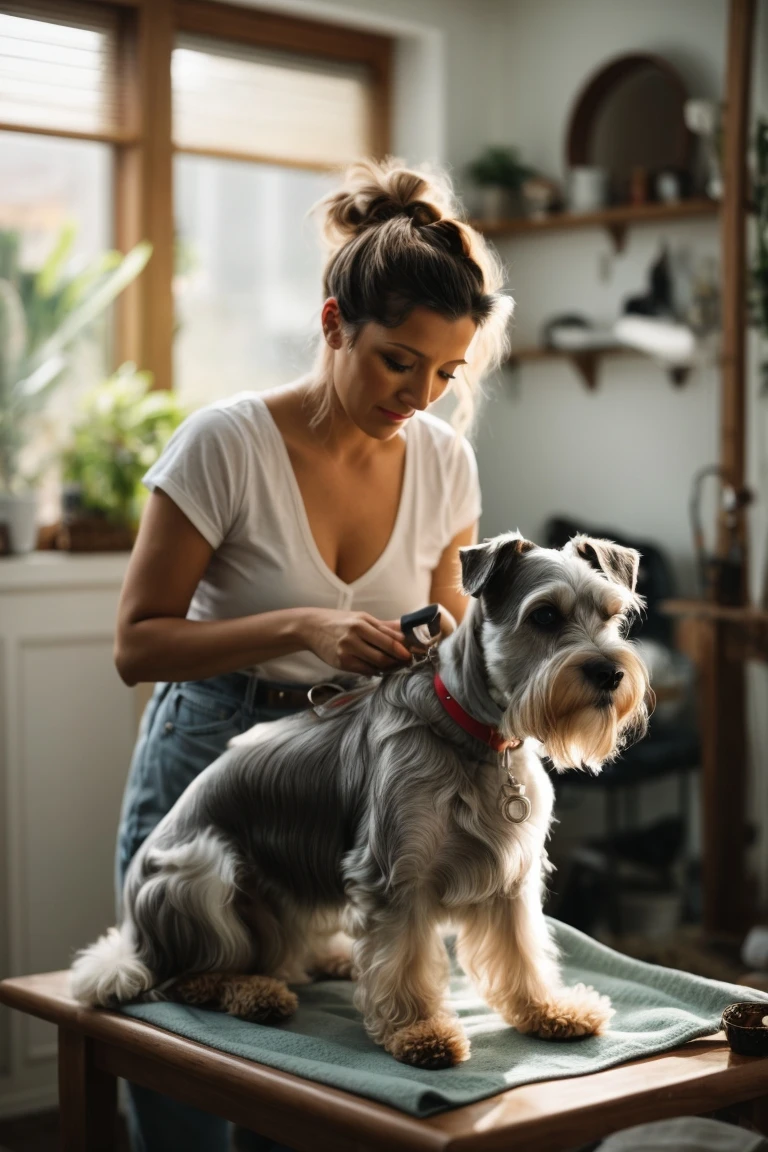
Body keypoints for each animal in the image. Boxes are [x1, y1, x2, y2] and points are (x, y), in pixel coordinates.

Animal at [70, 532, 649, 1069]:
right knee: (188, 975)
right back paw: (255, 992)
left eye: (612, 615)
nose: (609, 673)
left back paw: (330, 960)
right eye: (545, 615)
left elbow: (524, 951)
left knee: (284, 951)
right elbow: (404, 959)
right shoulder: (396, 873)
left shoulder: (512, 877)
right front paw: (420, 1032)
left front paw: (548, 1010)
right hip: (203, 873)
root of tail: (132, 938)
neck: (473, 736)